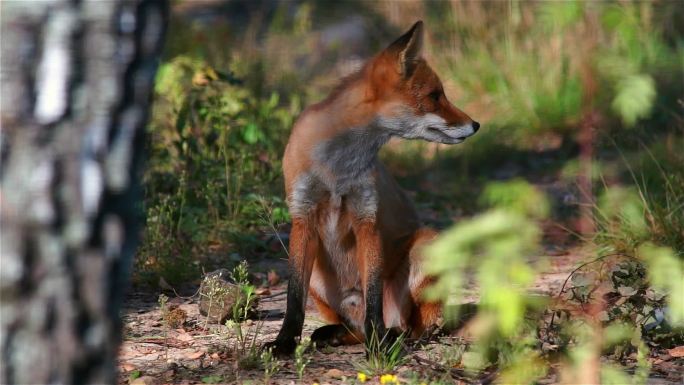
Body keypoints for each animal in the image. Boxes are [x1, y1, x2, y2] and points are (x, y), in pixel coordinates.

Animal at [264, 21, 478, 354]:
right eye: (435, 96)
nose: (476, 125)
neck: (337, 169)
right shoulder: (303, 215)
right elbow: (293, 299)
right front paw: (284, 343)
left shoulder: (367, 215)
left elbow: (374, 295)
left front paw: (378, 344)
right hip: (317, 276)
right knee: (355, 327)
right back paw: (340, 334)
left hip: (427, 245)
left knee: (408, 325)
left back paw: (396, 335)